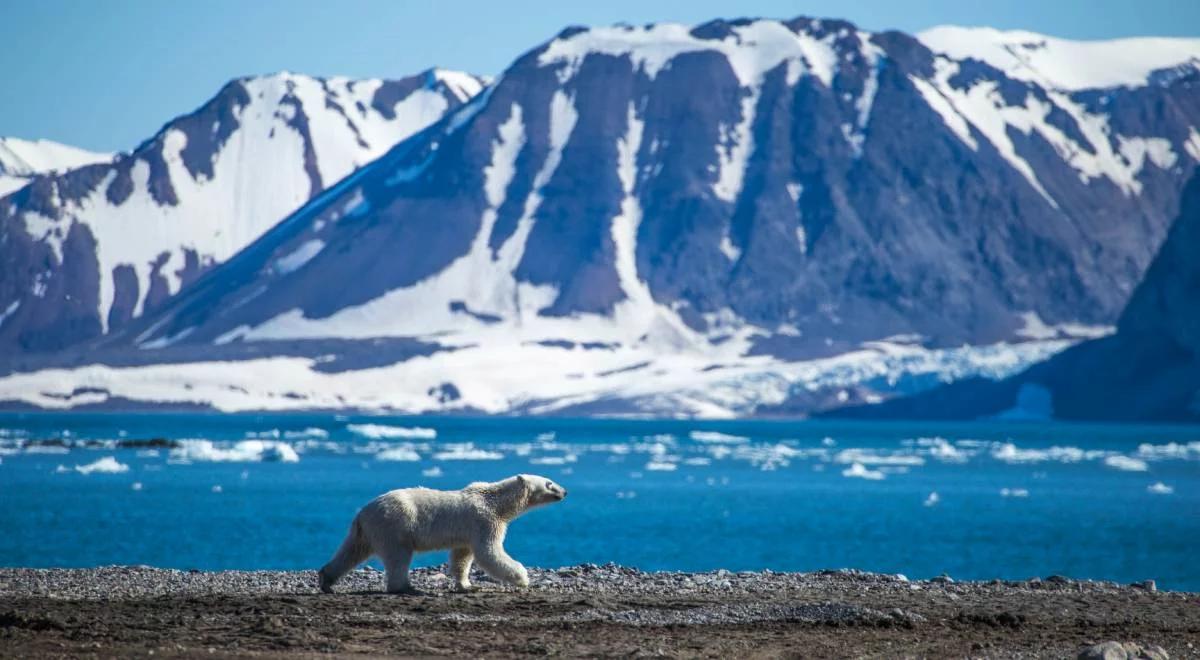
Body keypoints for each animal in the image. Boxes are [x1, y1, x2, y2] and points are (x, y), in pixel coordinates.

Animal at [316, 475, 564, 595]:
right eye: (549, 483)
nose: (565, 491)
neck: (496, 502)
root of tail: (363, 512)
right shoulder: (484, 521)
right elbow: (489, 552)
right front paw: (523, 577)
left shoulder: (467, 532)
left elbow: (462, 556)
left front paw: (467, 585)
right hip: (394, 525)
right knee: (398, 556)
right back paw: (406, 587)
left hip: (367, 531)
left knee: (351, 551)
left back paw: (326, 580)